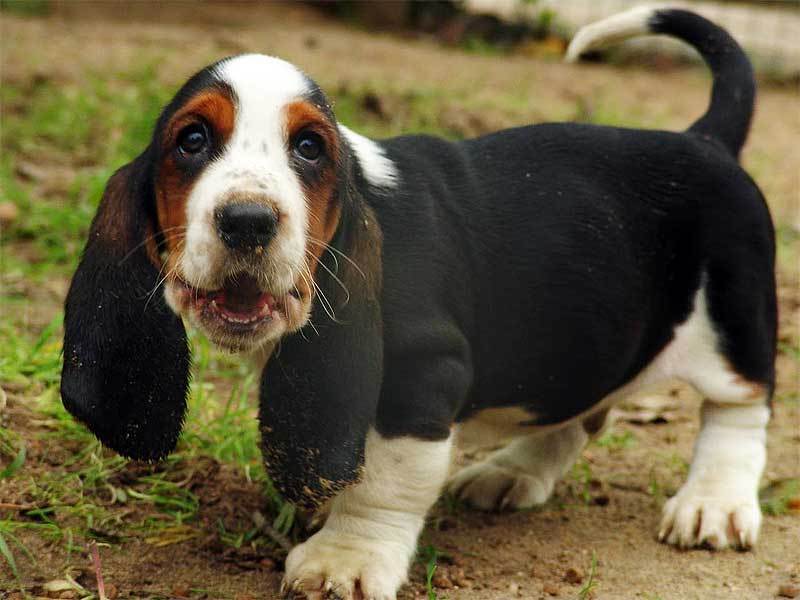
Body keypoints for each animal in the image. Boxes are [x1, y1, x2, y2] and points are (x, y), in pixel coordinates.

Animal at [62, 5, 776, 600]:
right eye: (191, 141)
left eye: (309, 148)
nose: (246, 221)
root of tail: (704, 140)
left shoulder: (419, 376)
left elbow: (385, 481)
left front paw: (344, 559)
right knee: (577, 415)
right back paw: (510, 474)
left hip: (730, 323)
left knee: (738, 411)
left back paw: (712, 505)